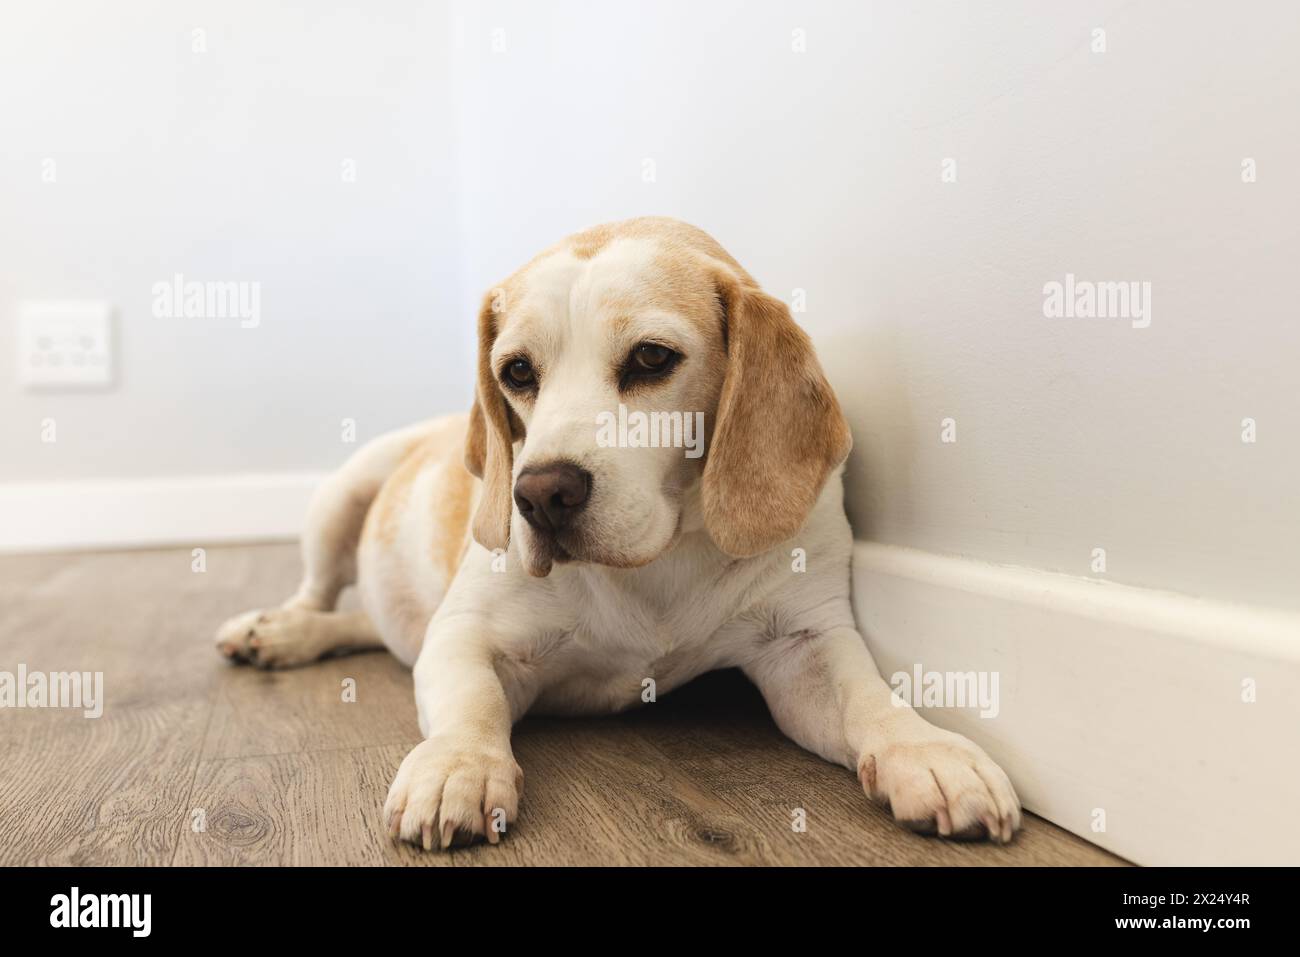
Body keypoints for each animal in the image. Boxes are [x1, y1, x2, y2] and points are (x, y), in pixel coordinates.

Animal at [215, 218, 1024, 852]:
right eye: (516, 371)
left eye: (651, 358)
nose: (538, 495)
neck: (658, 562)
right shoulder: (466, 633)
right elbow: (471, 703)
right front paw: (457, 766)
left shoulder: (804, 644)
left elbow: (871, 698)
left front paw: (926, 749)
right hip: (342, 494)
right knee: (317, 594)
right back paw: (280, 631)